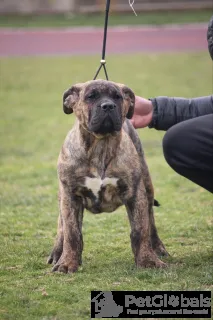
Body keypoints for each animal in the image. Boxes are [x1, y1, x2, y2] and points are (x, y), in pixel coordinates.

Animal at [47, 79, 168, 272]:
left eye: (117, 97)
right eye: (90, 97)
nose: (108, 106)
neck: (100, 146)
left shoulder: (136, 194)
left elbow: (140, 229)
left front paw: (147, 260)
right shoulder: (70, 195)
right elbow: (71, 232)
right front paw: (67, 263)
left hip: (147, 187)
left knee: (151, 220)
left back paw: (157, 247)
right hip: (62, 196)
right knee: (61, 225)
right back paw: (58, 253)